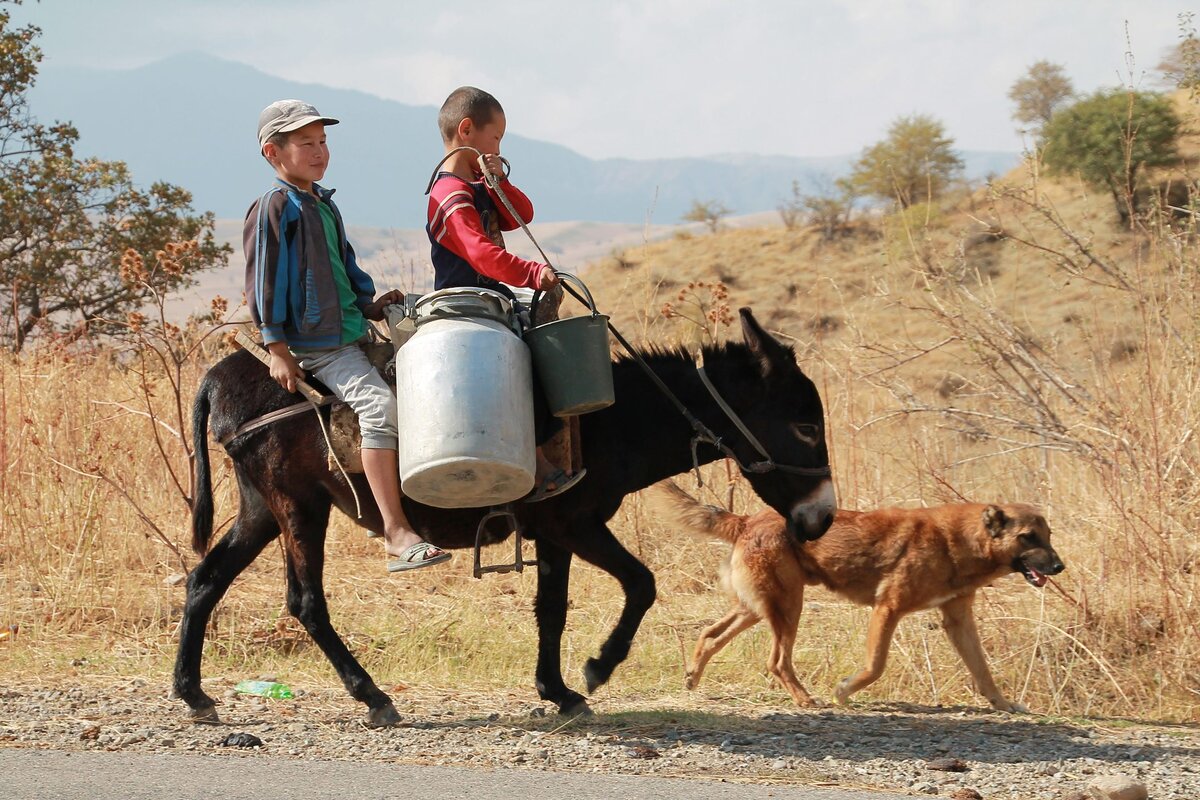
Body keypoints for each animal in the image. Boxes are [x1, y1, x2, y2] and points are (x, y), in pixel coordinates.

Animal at [652, 482, 1065, 714]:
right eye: (1028, 537)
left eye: (1048, 536)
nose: (1059, 566)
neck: (959, 541)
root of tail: (747, 520)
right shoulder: (888, 610)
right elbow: (875, 666)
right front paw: (844, 691)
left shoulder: (958, 620)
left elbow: (983, 673)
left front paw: (1004, 705)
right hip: (789, 607)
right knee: (777, 662)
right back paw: (805, 700)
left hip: (758, 608)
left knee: (709, 635)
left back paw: (692, 677)